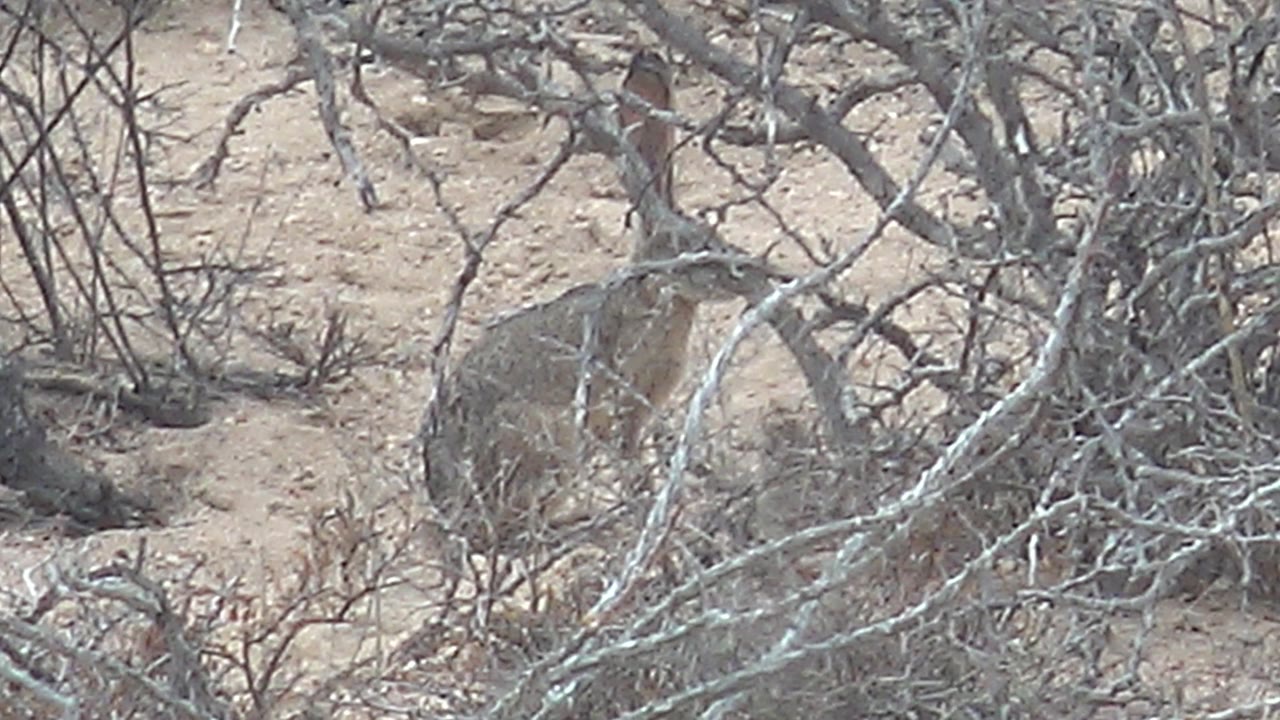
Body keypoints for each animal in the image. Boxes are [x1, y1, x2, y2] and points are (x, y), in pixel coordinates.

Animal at [422, 50, 724, 552]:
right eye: (688, 245)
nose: (736, 273)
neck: (649, 293)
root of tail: (447, 507)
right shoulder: (623, 403)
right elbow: (630, 461)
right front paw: (647, 510)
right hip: (550, 439)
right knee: (508, 530)